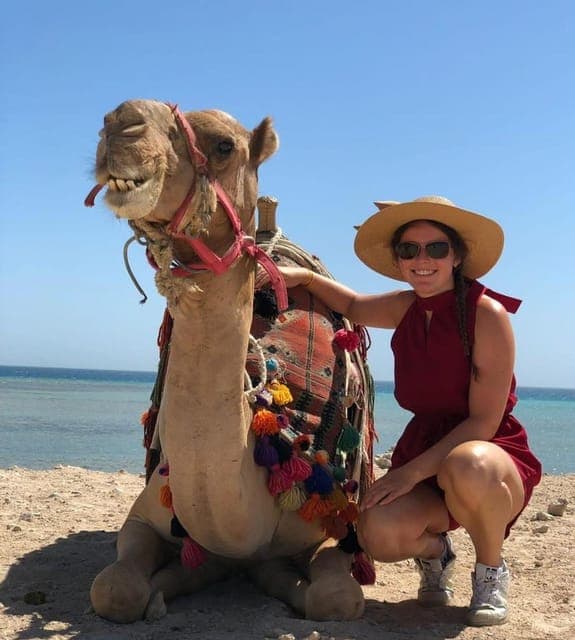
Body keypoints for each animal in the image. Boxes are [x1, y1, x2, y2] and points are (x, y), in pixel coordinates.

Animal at [84, 99, 376, 623]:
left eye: (224, 145)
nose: (120, 123)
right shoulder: (147, 512)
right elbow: (115, 588)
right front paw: (162, 591)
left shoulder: (333, 526)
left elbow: (336, 597)